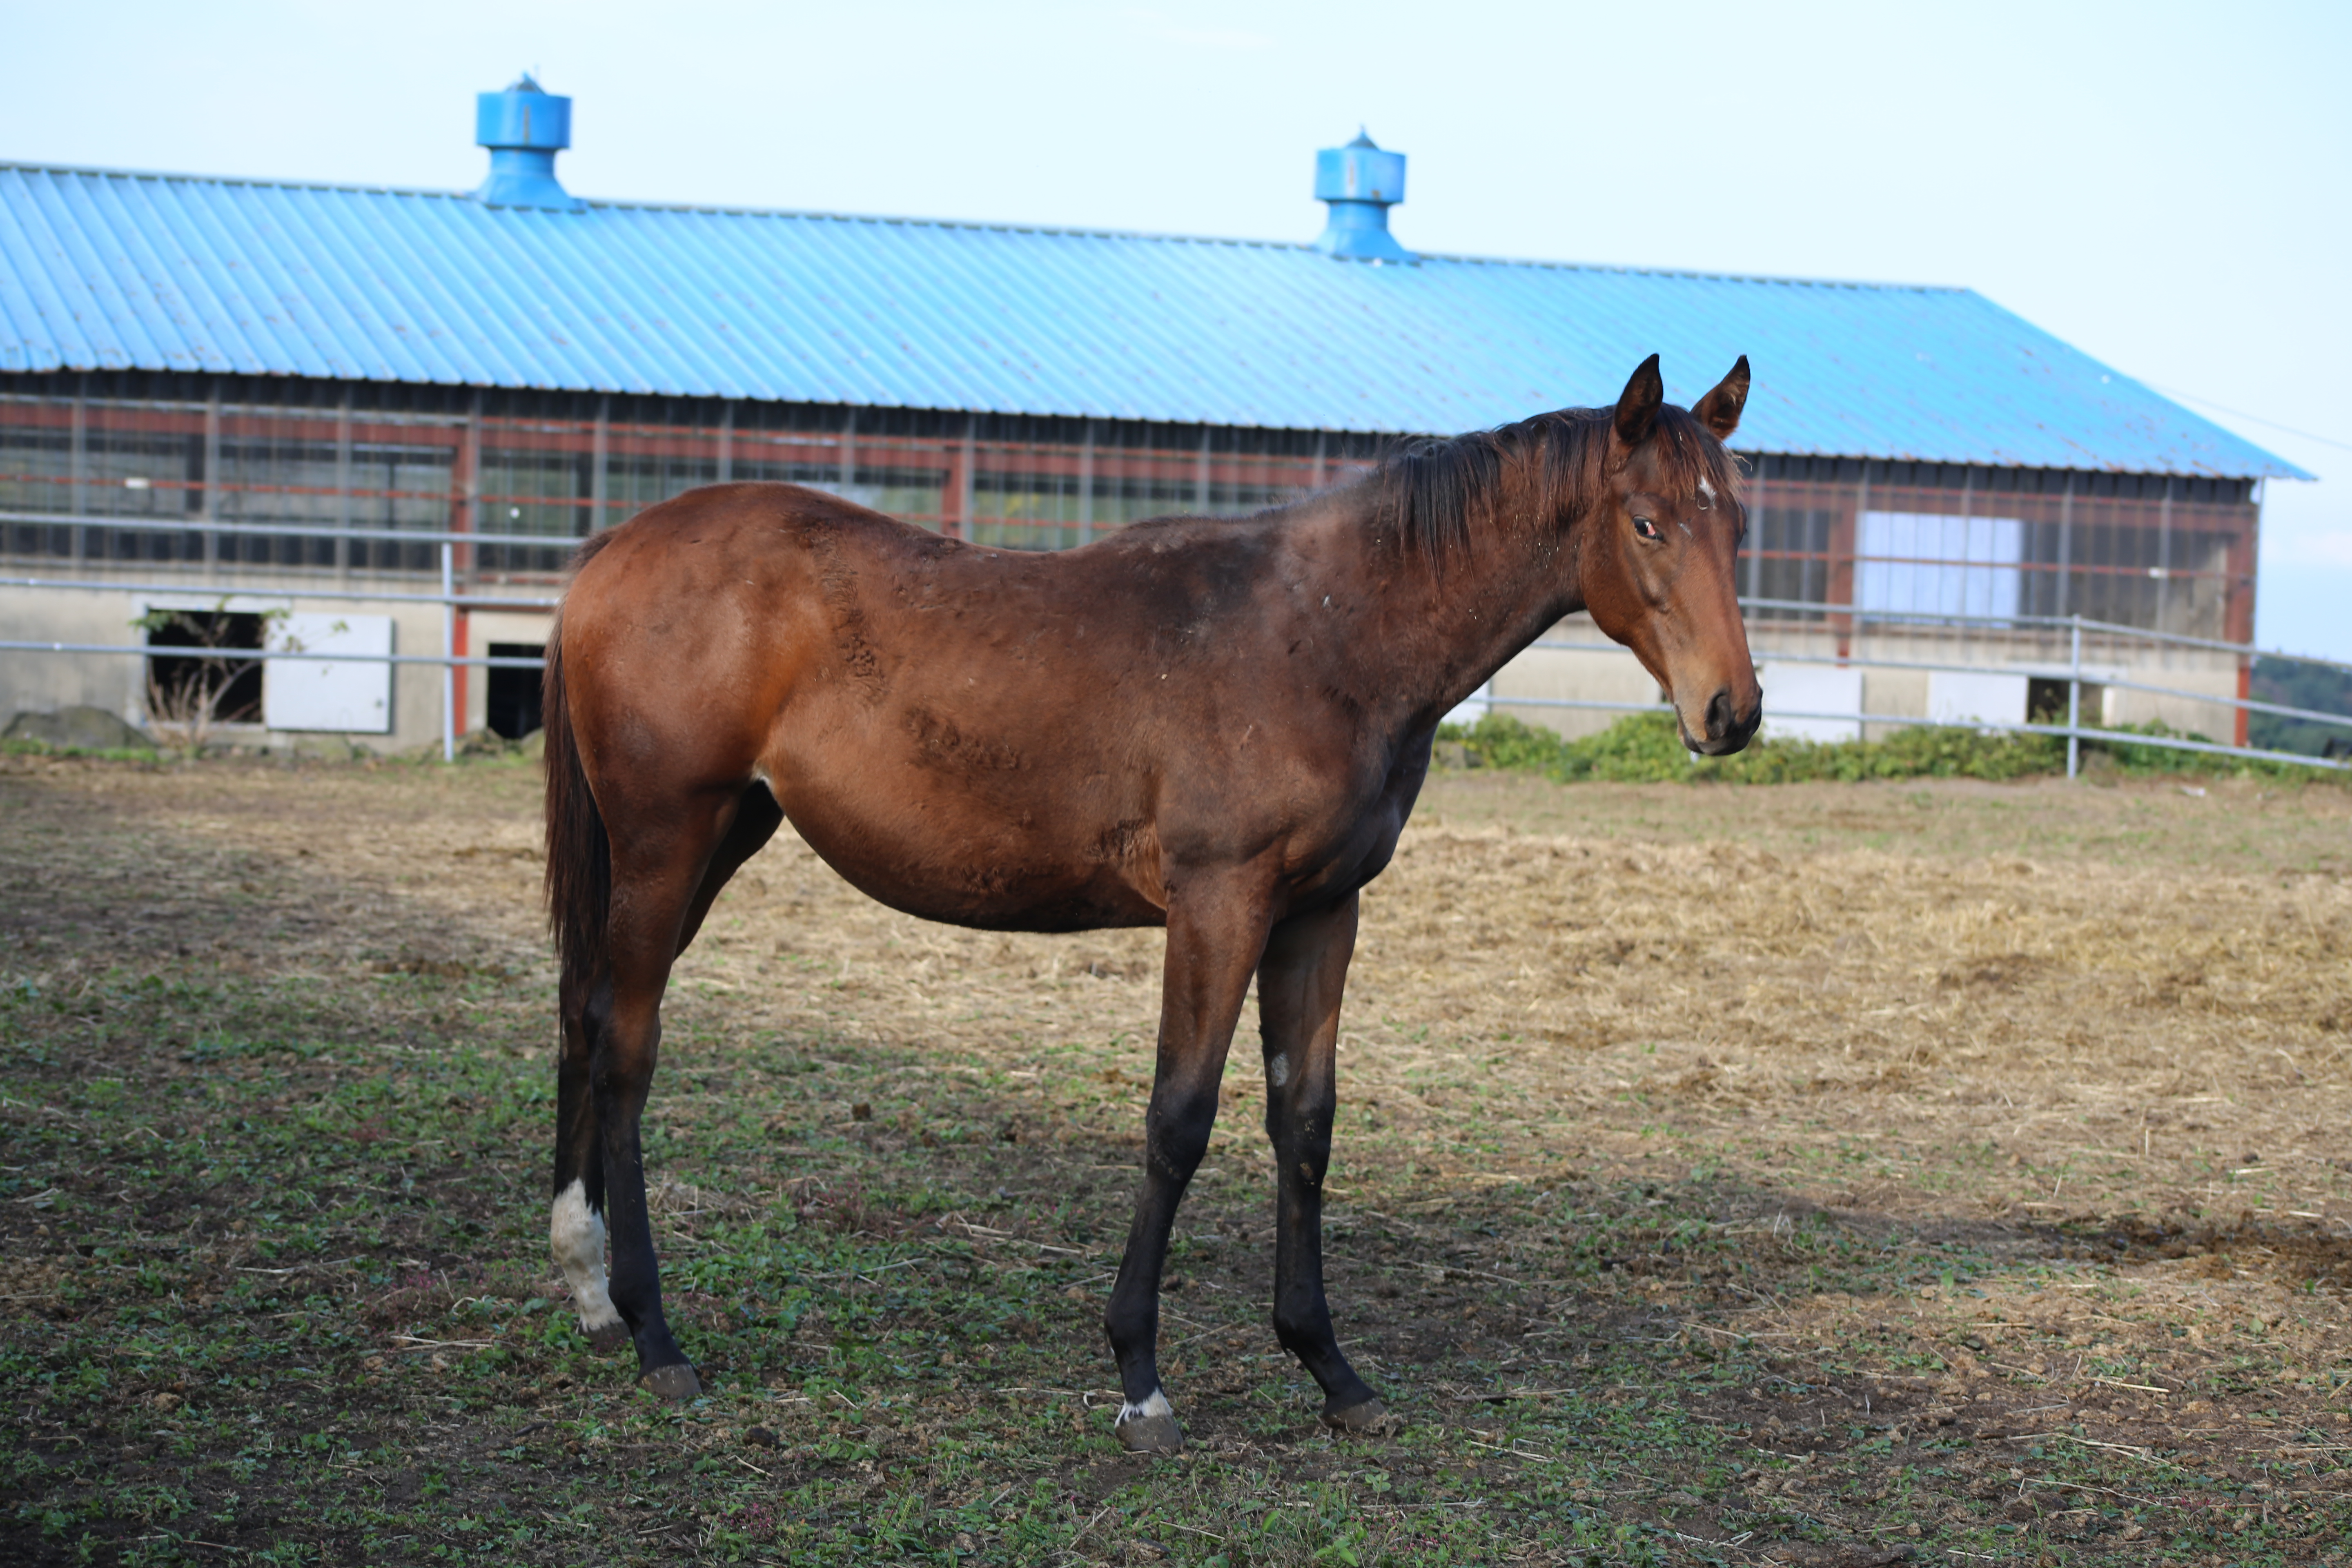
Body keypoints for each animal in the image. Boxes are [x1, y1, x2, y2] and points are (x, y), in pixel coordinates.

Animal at [529, 350, 1750, 1457]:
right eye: (1646, 524)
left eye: (1735, 519)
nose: (1731, 711)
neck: (1327, 631)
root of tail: (612, 550)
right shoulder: (1220, 902)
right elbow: (1180, 1119)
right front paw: (1140, 1378)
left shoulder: (1320, 915)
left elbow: (1304, 1123)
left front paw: (1330, 1367)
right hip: (667, 841)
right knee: (627, 1046)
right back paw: (655, 1334)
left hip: (716, 839)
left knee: (585, 1014)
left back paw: (588, 1293)